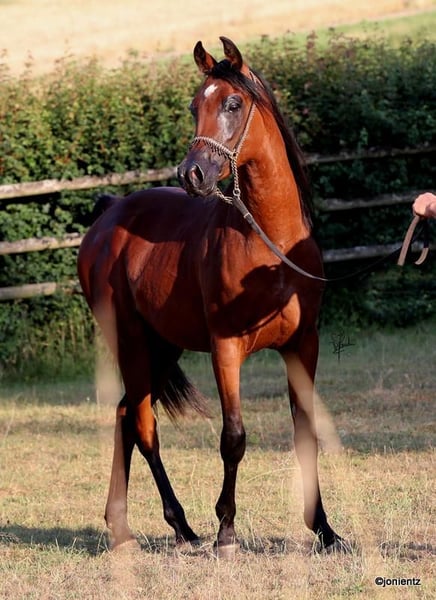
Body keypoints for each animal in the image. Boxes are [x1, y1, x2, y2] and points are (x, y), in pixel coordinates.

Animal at [78, 36, 344, 556]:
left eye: (233, 103)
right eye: (192, 106)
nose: (192, 174)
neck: (270, 242)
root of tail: (109, 214)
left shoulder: (304, 345)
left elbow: (305, 430)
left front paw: (324, 529)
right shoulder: (226, 349)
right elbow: (233, 437)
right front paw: (226, 532)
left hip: (163, 346)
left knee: (125, 413)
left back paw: (123, 527)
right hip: (132, 343)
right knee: (143, 426)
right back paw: (181, 527)